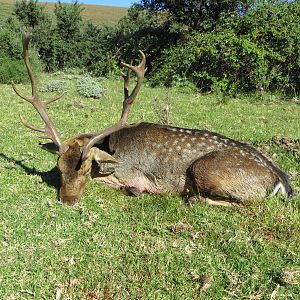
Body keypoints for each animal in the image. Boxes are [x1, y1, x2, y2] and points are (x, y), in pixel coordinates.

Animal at [13, 33, 290, 206]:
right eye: (59, 167)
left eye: (85, 168)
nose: (67, 201)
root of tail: (281, 181)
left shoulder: (129, 174)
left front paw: (134, 190)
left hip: (206, 170)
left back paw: (191, 197)